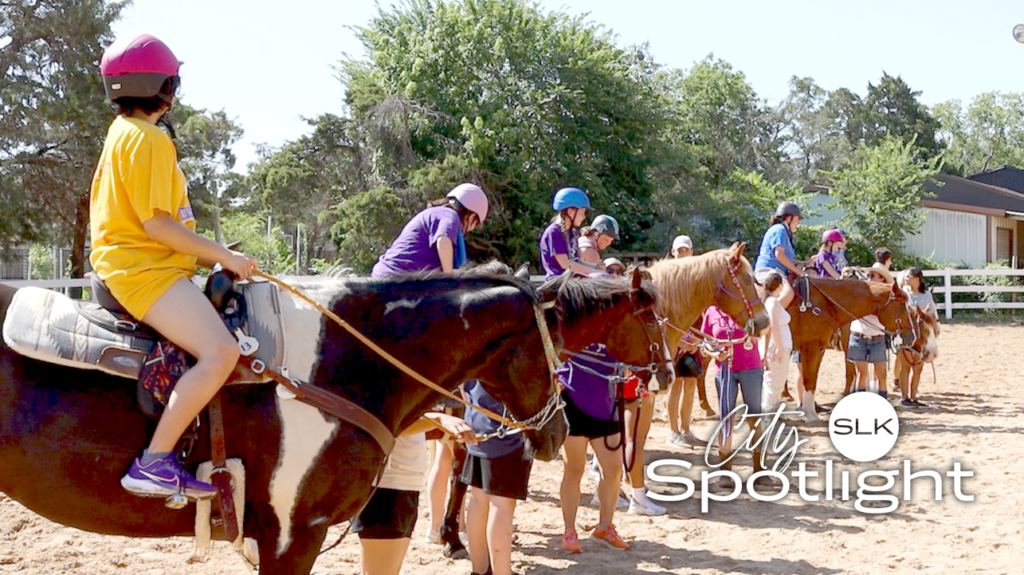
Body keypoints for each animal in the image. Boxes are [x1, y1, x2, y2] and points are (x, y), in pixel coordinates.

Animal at [787, 277, 912, 422]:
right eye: (902, 306)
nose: (911, 336)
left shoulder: (820, 349)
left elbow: (815, 379)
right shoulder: (812, 348)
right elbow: (810, 379)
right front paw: (810, 415)